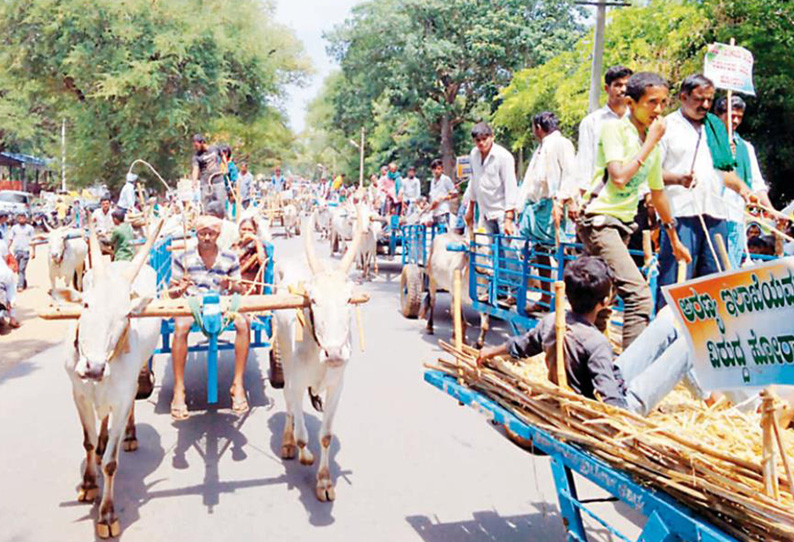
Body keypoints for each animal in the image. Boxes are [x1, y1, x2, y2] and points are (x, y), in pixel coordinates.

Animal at [52, 222, 161, 540]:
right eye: (86, 304)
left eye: (126, 314)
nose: (95, 367)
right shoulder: (79, 394)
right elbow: (87, 442)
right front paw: (89, 483)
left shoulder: (122, 398)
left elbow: (112, 464)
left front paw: (107, 514)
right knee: (101, 425)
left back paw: (130, 435)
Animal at [270, 210, 360, 504]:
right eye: (313, 300)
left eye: (349, 300)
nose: (334, 353)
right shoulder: (297, 382)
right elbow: (302, 435)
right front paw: (303, 453)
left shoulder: (336, 387)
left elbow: (326, 436)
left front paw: (324, 481)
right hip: (284, 357)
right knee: (287, 400)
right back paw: (287, 442)